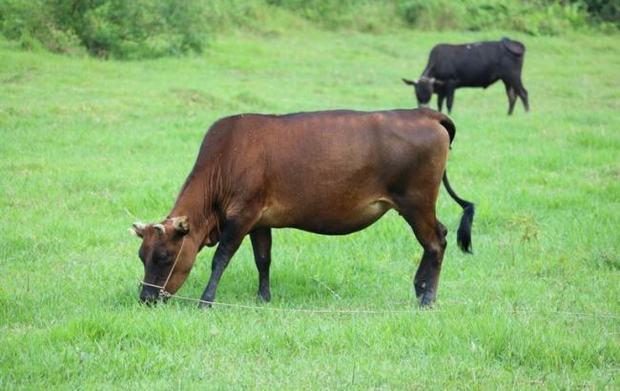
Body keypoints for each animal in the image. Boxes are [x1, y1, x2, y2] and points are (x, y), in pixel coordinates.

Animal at [131, 108, 474, 308]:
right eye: (142, 256)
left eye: (164, 257)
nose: (146, 298)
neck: (227, 158)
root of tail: (424, 113)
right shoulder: (259, 221)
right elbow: (263, 259)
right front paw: (263, 298)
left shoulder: (241, 216)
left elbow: (221, 259)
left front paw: (206, 300)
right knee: (438, 237)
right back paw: (420, 289)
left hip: (416, 201)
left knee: (436, 241)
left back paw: (427, 297)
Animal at [404, 37, 532, 115]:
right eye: (416, 92)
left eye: (429, 92)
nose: (423, 108)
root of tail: (513, 43)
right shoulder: (442, 90)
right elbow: (440, 104)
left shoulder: (451, 83)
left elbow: (449, 103)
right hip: (507, 79)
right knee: (512, 95)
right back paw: (509, 114)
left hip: (513, 76)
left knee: (523, 93)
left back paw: (527, 113)